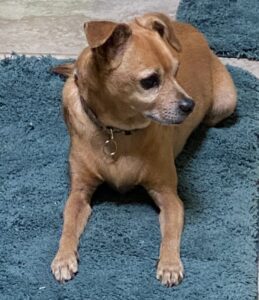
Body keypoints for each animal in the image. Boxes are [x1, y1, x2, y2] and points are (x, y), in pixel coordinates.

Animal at [50, 12, 238, 288]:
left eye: (177, 71)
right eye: (149, 81)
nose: (190, 105)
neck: (118, 131)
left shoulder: (168, 196)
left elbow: (170, 233)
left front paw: (169, 264)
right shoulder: (79, 192)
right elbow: (68, 225)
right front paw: (63, 257)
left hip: (225, 103)